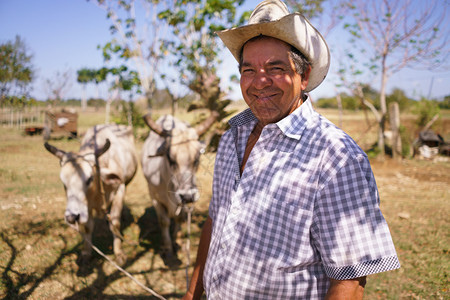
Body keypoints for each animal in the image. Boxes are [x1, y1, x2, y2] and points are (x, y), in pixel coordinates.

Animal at [45, 123, 138, 264]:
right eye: (63, 182)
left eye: (89, 178)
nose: (71, 217)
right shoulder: (85, 205)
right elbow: (88, 226)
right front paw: (86, 253)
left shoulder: (120, 189)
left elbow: (115, 224)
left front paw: (119, 253)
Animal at [142, 113, 217, 268]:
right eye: (170, 158)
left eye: (197, 158)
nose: (188, 196)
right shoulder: (155, 198)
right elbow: (164, 221)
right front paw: (169, 250)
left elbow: (179, 218)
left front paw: (178, 242)